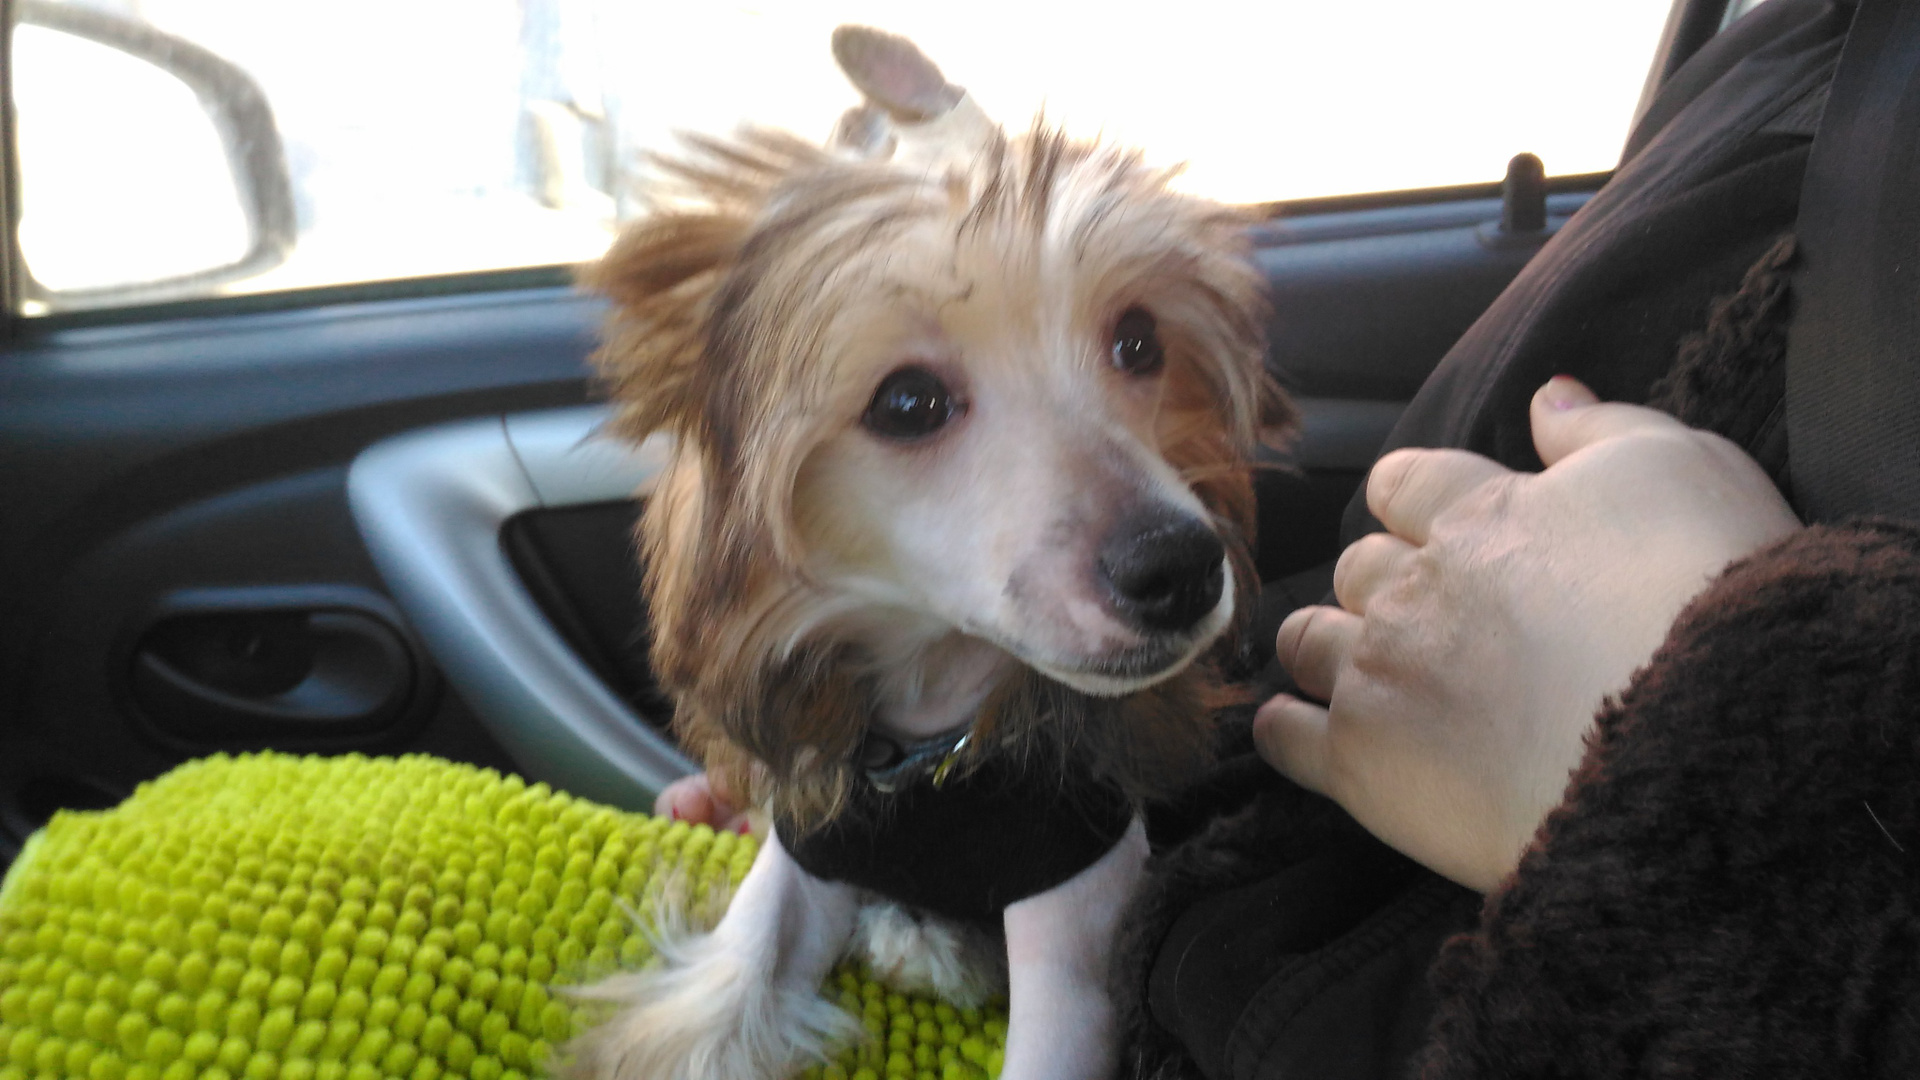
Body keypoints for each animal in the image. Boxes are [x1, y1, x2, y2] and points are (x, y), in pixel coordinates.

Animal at [565, 26, 1290, 1080]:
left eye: (1139, 341)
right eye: (907, 402)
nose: (1181, 568)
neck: (929, 743)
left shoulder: (1077, 908)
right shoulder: (805, 856)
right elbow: (730, 985)